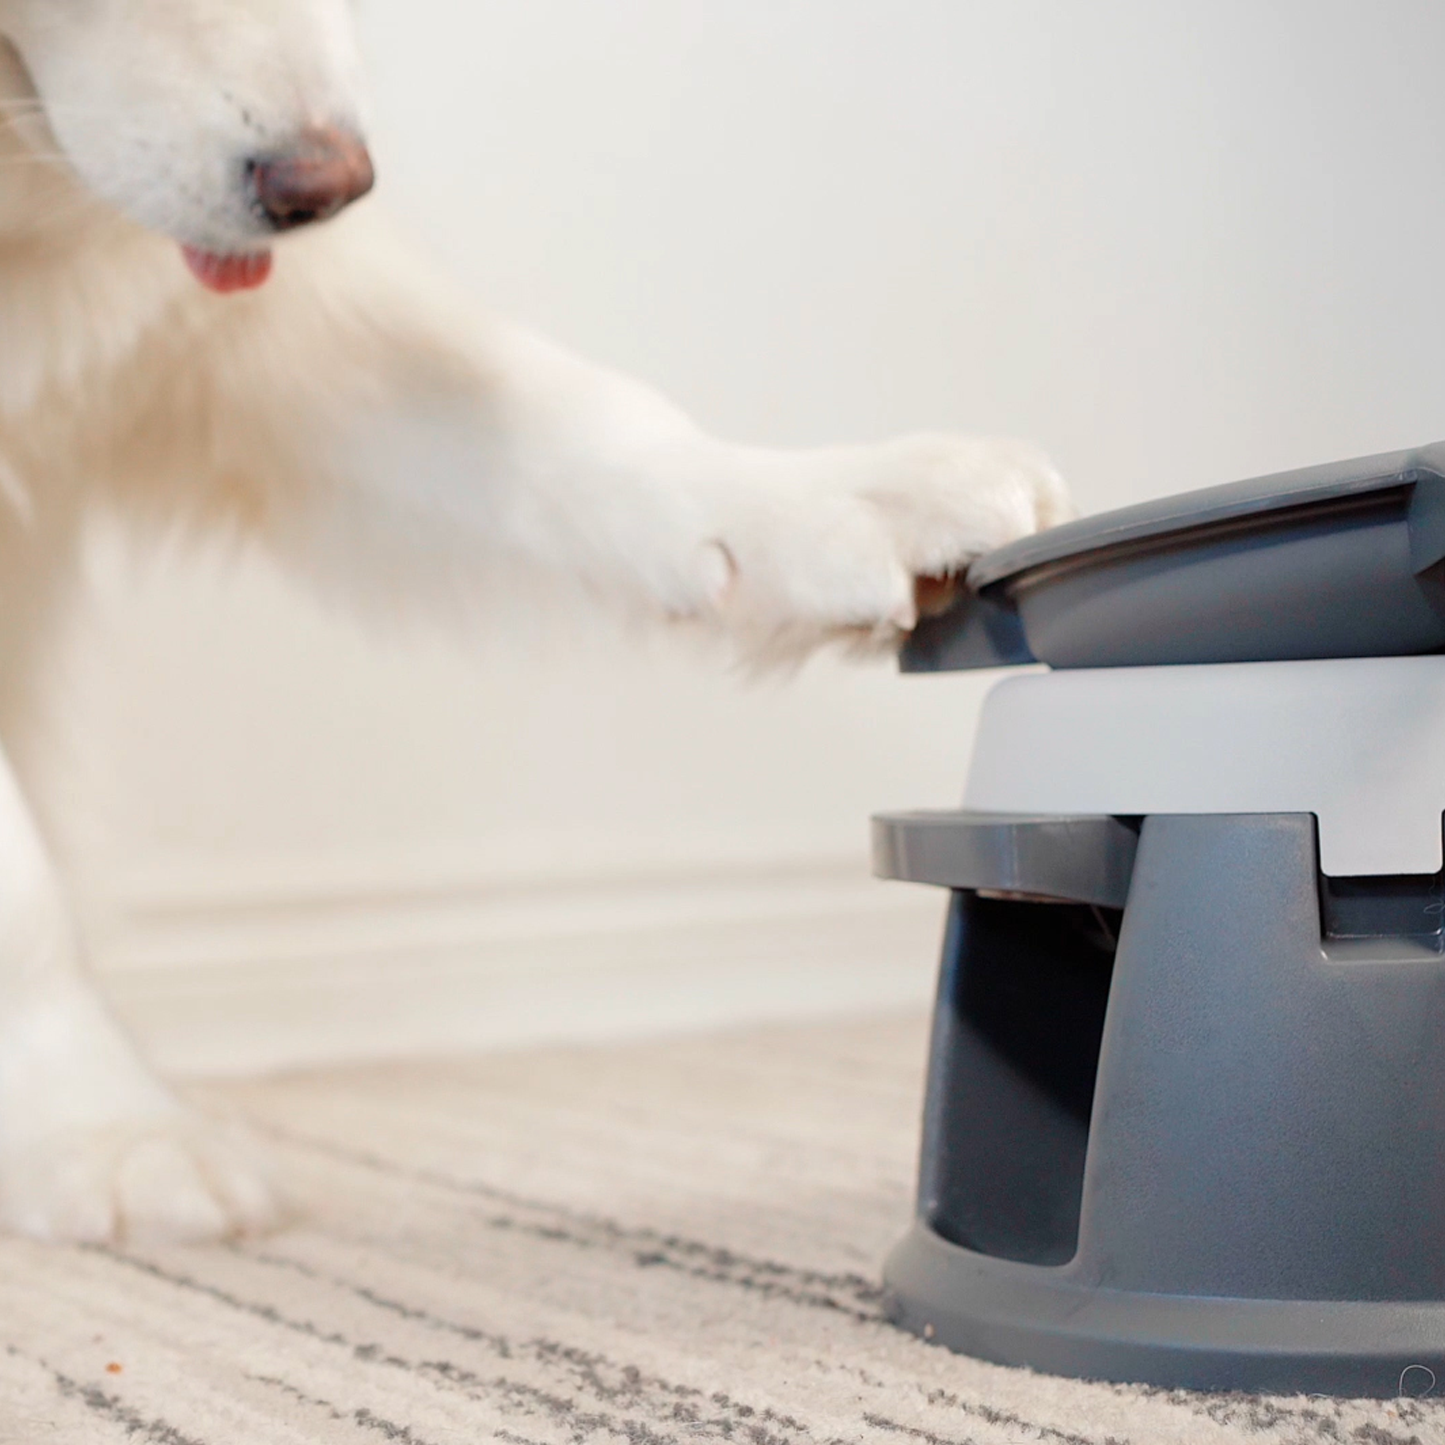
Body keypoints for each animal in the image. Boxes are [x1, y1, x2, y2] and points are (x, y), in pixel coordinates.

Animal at [0, 0, 1069, 1242]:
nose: (325, 191)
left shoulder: (272, 329)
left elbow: (565, 421)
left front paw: (827, 502)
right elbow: (22, 886)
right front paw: (98, 1123)